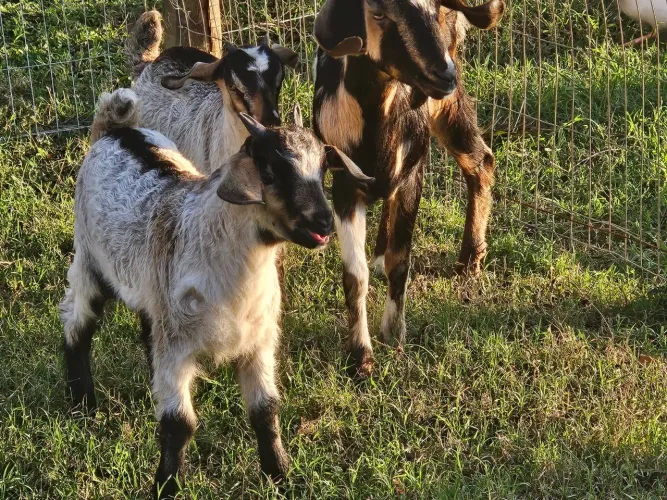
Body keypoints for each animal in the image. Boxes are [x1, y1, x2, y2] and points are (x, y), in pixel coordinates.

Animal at [61, 89, 372, 499]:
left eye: (322, 171)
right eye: (270, 173)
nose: (323, 223)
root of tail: (115, 130)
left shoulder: (258, 341)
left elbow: (266, 410)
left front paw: (280, 475)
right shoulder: (177, 346)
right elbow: (179, 424)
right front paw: (166, 487)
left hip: (151, 291)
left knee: (144, 328)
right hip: (89, 260)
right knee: (77, 325)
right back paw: (83, 404)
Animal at [313, 0, 504, 376]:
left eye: (435, 7)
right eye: (378, 14)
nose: (443, 74)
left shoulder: (414, 172)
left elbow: (400, 263)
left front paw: (394, 335)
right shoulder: (344, 185)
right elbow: (354, 275)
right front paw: (361, 358)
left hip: (445, 104)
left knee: (481, 161)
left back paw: (469, 260)